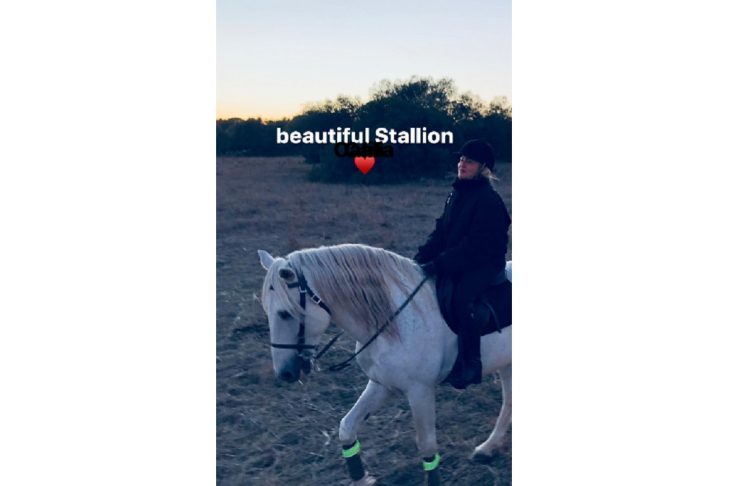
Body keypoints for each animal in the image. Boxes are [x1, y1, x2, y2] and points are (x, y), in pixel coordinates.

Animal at [258, 243, 512, 485]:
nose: (284, 373)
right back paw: (488, 448)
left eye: (284, 314)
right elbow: (347, 428)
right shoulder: (381, 385)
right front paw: (361, 479)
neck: (393, 319)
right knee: (508, 403)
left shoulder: (420, 391)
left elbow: (427, 446)